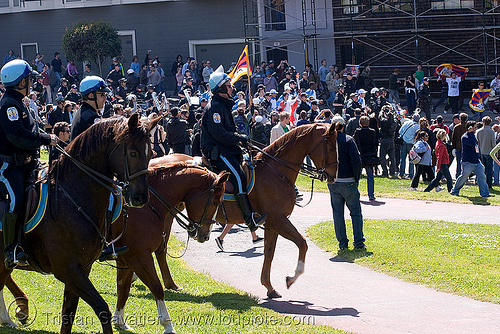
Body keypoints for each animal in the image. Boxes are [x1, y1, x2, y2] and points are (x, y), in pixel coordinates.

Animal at [0, 113, 157, 332]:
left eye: (151, 154)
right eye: (133, 153)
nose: (140, 198)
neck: (72, 196)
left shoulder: (81, 268)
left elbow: (68, 313)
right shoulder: (68, 269)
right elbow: (102, 308)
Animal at [110, 161, 229, 332]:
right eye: (215, 202)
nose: (205, 236)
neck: (146, 207)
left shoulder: (125, 259)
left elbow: (123, 289)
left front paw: (119, 320)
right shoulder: (139, 257)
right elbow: (156, 288)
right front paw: (167, 325)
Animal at [156, 124, 338, 298]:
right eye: (331, 148)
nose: (333, 176)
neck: (276, 171)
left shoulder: (271, 223)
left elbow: (269, 252)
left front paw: (269, 287)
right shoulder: (278, 219)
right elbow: (302, 243)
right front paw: (291, 277)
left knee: (161, 249)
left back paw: (169, 283)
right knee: (160, 248)